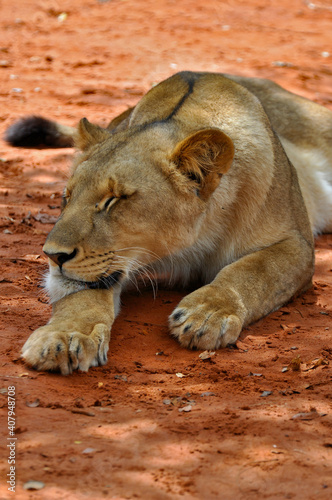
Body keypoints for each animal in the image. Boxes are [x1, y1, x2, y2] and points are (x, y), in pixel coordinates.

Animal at [5, 72, 332, 374]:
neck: (191, 243)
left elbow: (253, 270)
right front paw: (65, 337)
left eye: (114, 199)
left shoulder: (297, 244)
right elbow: (80, 297)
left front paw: (206, 314)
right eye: (67, 197)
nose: (52, 255)